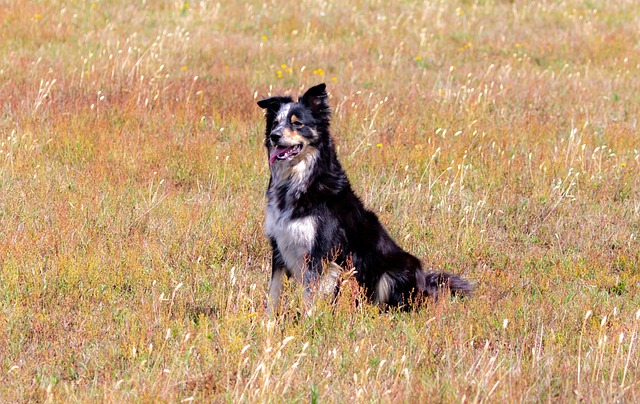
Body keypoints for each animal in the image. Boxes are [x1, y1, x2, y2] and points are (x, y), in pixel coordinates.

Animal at [258, 83, 472, 314]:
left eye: (297, 123)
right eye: (275, 123)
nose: (274, 136)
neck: (297, 181)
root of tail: (427, 285)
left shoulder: (318, 253)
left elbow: (309, 298)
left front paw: (308, 322)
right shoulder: (278, 245)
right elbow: (273, 292)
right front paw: (268, 321)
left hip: (399, 267)